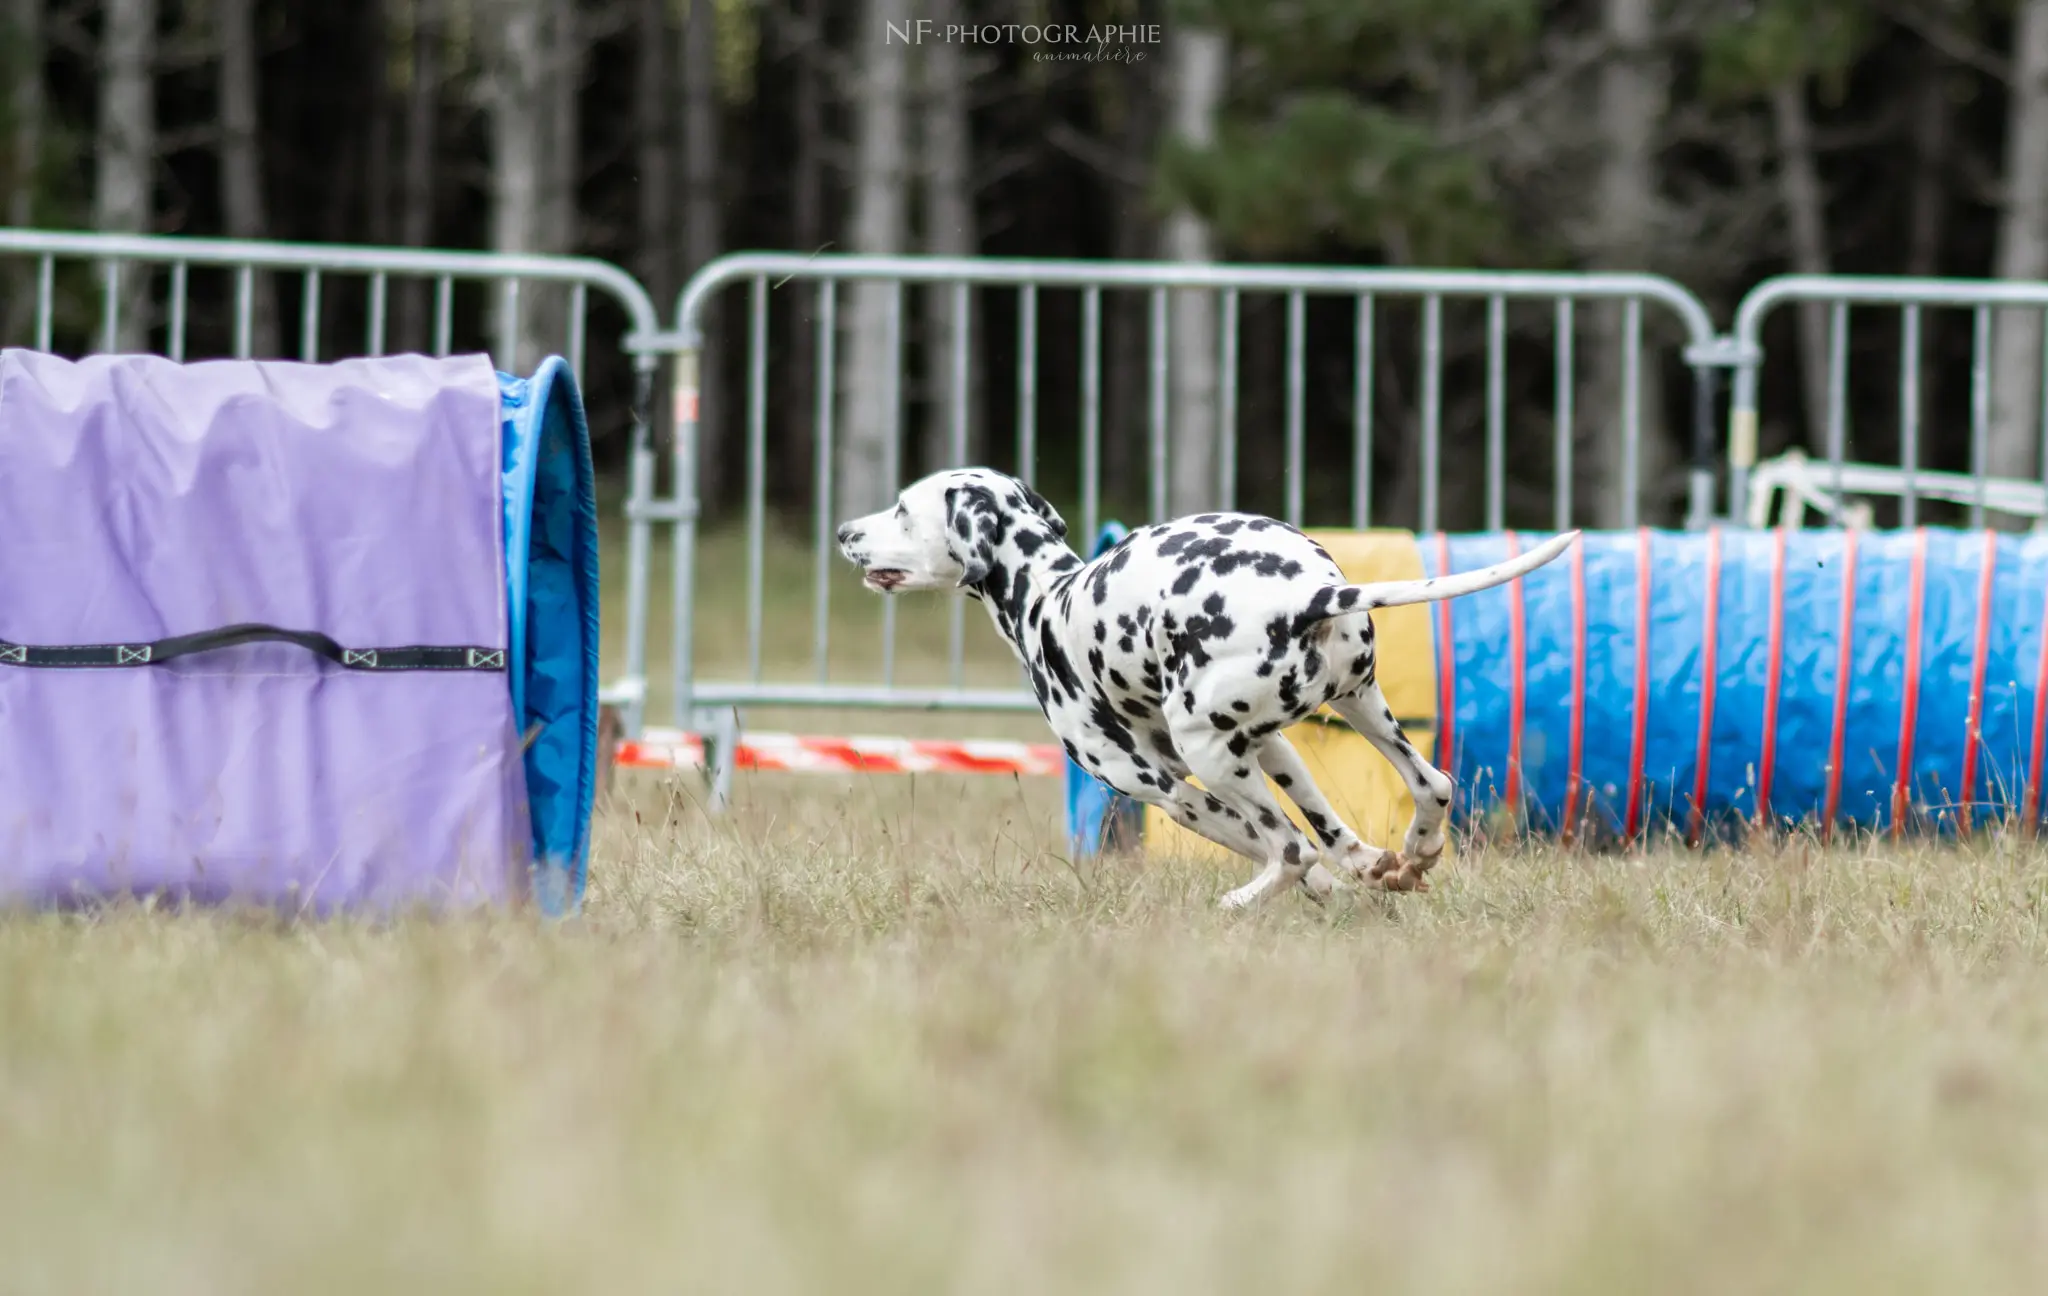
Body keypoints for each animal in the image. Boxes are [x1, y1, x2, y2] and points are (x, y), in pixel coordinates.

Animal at [839, 466, 1572, 909]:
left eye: (902, 511)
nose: (845, 530)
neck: (1047, 595)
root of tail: (1313, 591)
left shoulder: (1161, 787)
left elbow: (1280, 843)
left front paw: (1331, 891)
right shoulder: (1271, 748)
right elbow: (1330, 830)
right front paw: (1366, 872)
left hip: (1207, 753)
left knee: (1288, 847)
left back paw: (1241, 903)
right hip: (1356, 707)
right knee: (1431, 786)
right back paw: (1412, 855)